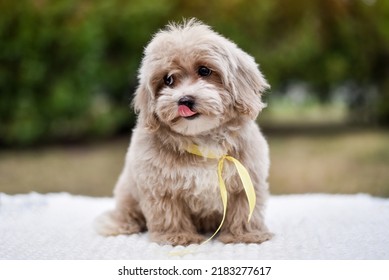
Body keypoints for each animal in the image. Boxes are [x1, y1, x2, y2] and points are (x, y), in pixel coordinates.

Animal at [94, 18, 272, 245]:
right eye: (168, 80)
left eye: (204, 70)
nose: (184, 100)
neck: (203, 138)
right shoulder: (160, 185)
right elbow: (169, 212)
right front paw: (177, 236)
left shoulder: (246, 178)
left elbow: (244, 208)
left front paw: (245, 234)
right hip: (127, 191)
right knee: (126, 211)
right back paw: (120, 224)